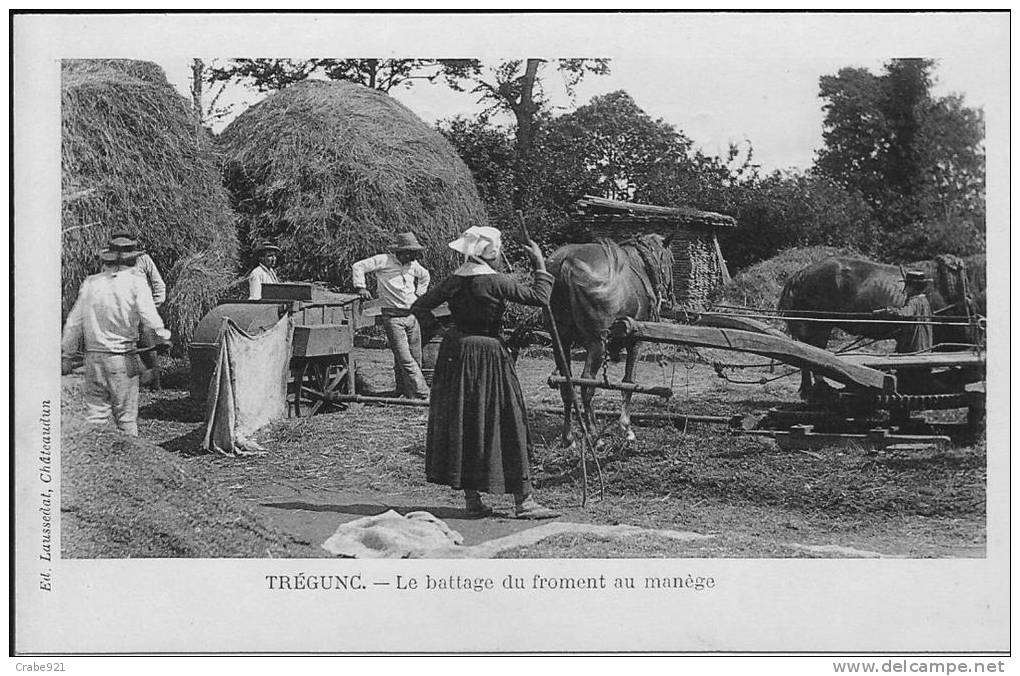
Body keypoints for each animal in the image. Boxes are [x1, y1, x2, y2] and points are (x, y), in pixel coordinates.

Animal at [546, 234, 673, 448]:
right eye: (671, 260)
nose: (669, 292)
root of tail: (567, 264)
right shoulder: (635, 343)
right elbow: (628, 382)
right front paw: (627, 428)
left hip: (560, 341)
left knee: (567, 384)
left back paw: (569, 437)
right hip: (597, 345)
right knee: (587, 384)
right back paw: (594, 436)